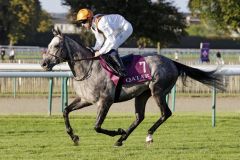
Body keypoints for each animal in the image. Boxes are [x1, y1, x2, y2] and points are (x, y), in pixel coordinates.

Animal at [40, 28, 223, 146]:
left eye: (56, 46)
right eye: (48, 45)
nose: (44, 63)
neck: (88, 68)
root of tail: (172, 62)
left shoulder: (105, 101)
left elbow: (97, 126)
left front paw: (118, 131)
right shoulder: (85, 99)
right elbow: (65, 111)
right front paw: (74, 137)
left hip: (157, 91)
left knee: (166, 113)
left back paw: (147, 135)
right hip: (142, 95)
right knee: (139, 117)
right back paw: (121, 140)